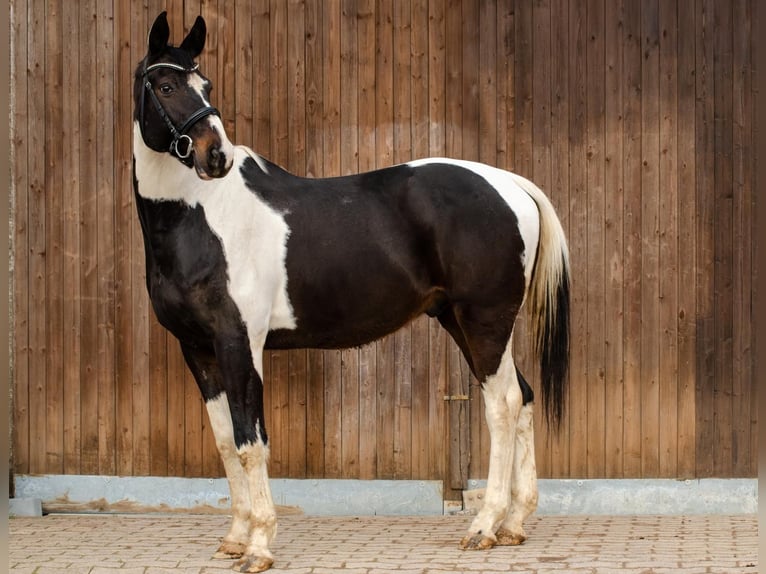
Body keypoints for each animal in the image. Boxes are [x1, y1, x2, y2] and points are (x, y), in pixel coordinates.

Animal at [134, 11, 568, 572]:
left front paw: (259, 545)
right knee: (526, 397)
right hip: (470, 322)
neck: (203, 216)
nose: (216, 157)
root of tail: (511, 184)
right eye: (166, 86)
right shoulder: (198, 350)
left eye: (205, 85)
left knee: (504, 405)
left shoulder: (239, 343)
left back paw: (483, 527)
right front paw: (234, 537)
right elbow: (226, 443)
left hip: (484, 321)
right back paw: (513, 524)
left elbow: (252, 441)